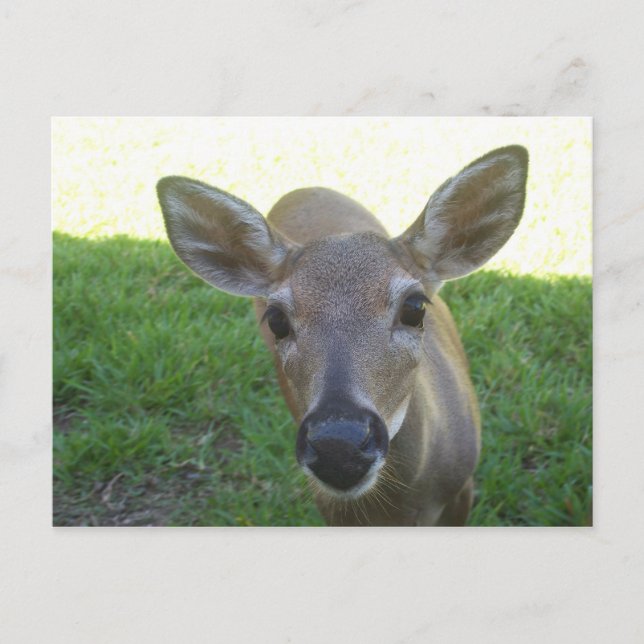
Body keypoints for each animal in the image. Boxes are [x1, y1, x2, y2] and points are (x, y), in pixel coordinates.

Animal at [156, 145, 528, 526]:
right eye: (276, 319)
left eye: (415, 306)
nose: (338, 446)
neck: (402, 505)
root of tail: (305, 187)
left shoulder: (463, 487)